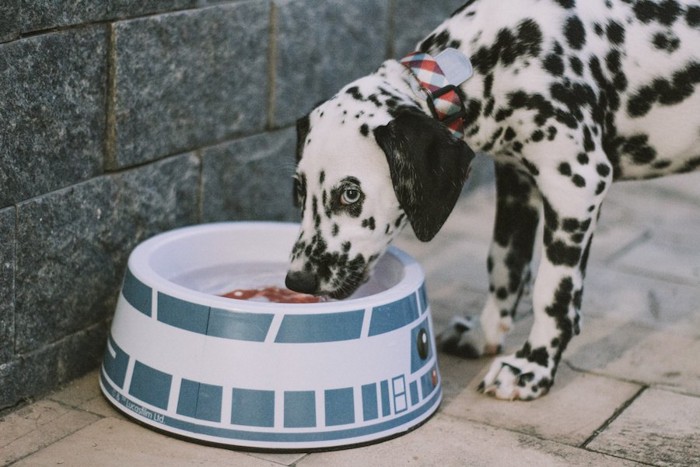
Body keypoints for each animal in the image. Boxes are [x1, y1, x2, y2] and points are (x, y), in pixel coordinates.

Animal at [284, 0, 700, 402]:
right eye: (299, 190)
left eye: (350, 193)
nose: (297, 280)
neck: (494, 57)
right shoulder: (516, 179)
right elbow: (505, 263)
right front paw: (486, 334)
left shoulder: (576, 183)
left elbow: (553, 291)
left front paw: (532, 367)